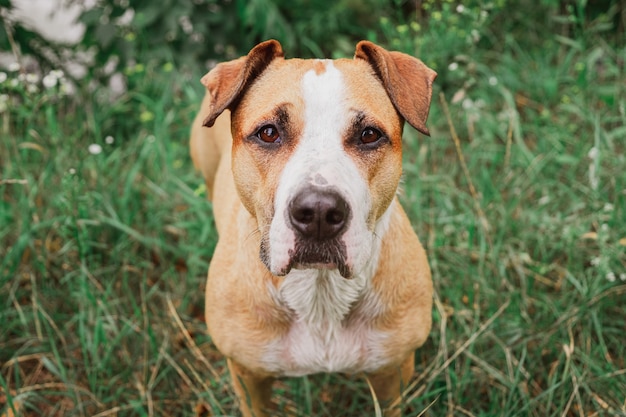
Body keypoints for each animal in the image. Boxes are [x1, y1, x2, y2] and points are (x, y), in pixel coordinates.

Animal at [189, 39, 434, 416]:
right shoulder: (248, 377)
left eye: (369, 135)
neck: (321, 291)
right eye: (268, 133)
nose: (318, 212)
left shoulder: (392, 374)